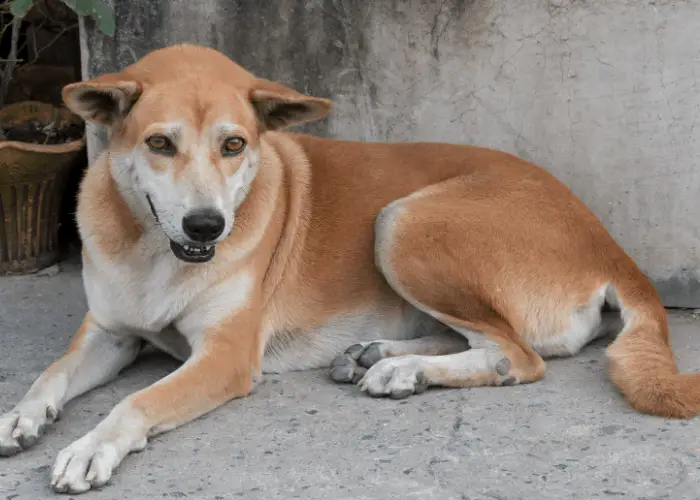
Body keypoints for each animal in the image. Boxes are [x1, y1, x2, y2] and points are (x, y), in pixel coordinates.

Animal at [1, 44, 700, 492]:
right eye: (159, 143)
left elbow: (138, 401)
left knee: (519, 357)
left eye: (234, 144)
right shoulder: (110, 333)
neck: (152, 252)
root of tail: (609, 245)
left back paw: (402, 369)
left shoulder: (225, 357)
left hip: (402, 222)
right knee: (489, 340)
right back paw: (382, 356)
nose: (207, 226)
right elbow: (51, 373)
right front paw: (20, 414)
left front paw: (91, 446)